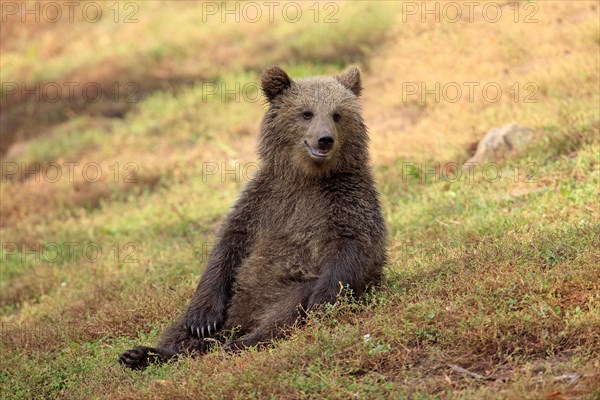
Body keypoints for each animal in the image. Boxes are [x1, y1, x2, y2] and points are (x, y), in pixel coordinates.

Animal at [119, 65, 386, 368]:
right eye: (306, 112)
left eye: (337, 114)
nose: (325, 139)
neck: (308, 177)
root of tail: (242, 321)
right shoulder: (264, 200)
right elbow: (230, 242)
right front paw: (202, 319)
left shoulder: (346, 200)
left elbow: (351, 247)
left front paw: (323, 303)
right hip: (234, 300)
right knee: (183, 329)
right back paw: (146, 353)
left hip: (282, 290)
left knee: (286, 309)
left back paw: (243, 342)